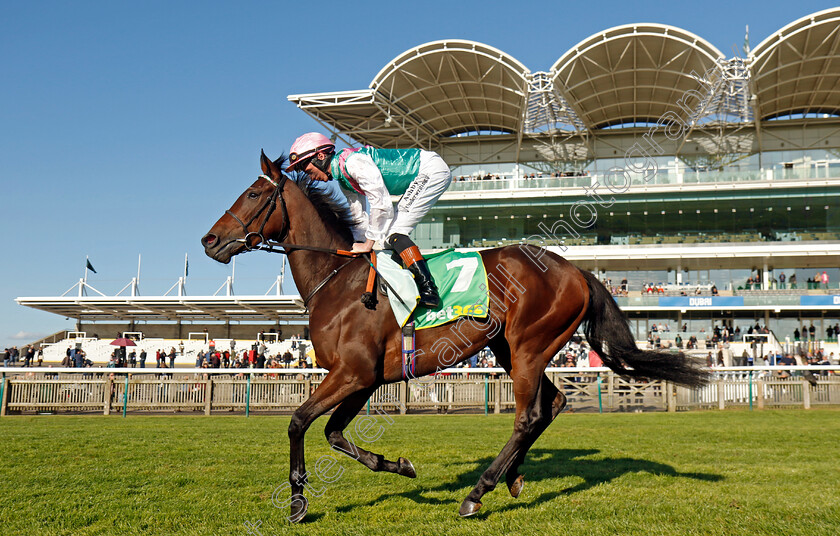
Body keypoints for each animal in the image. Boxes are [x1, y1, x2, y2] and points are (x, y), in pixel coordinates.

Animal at [203, 151, 708, 520]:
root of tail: (577, 270)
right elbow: (333, 433)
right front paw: (398, 466)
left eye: (253, 193)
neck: (337, 280)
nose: (210, 241)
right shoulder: (365, 378)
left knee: (528, 415)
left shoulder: (352, 373)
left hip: (528, 346)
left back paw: (476, 493)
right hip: (511, 349)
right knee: (553, 404)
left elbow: (298, 422)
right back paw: (511, 477)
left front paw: (297, 503)